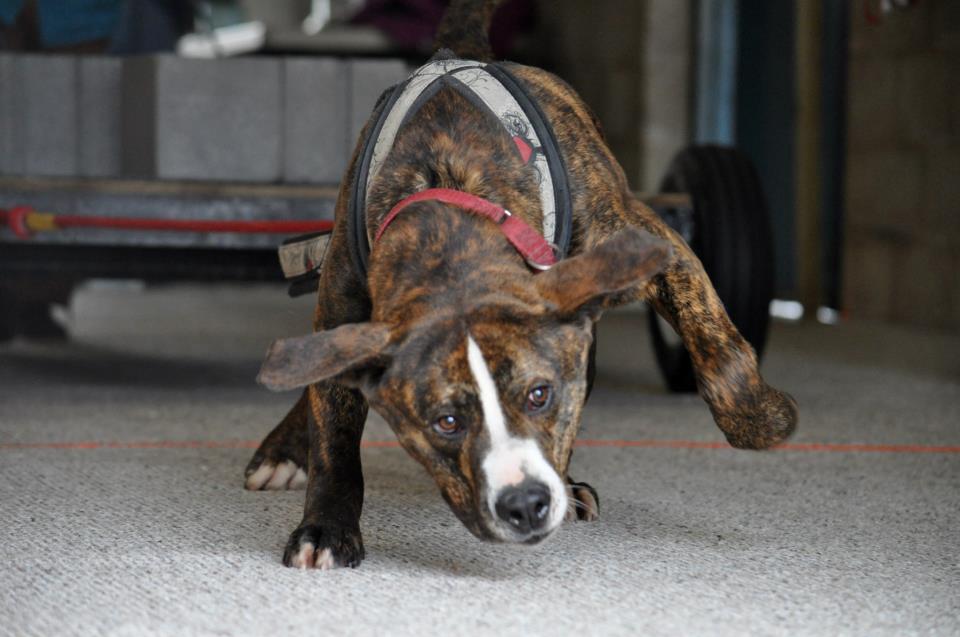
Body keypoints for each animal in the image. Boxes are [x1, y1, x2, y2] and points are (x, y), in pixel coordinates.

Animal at [246, 0, 796, 568]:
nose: (526, 503)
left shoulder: (655, 250)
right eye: (446, 421)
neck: (451, 201)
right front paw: (327, 528)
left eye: (539, 396)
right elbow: (334, 431)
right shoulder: (344, 308)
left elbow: (717, 345)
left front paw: (763, 420)